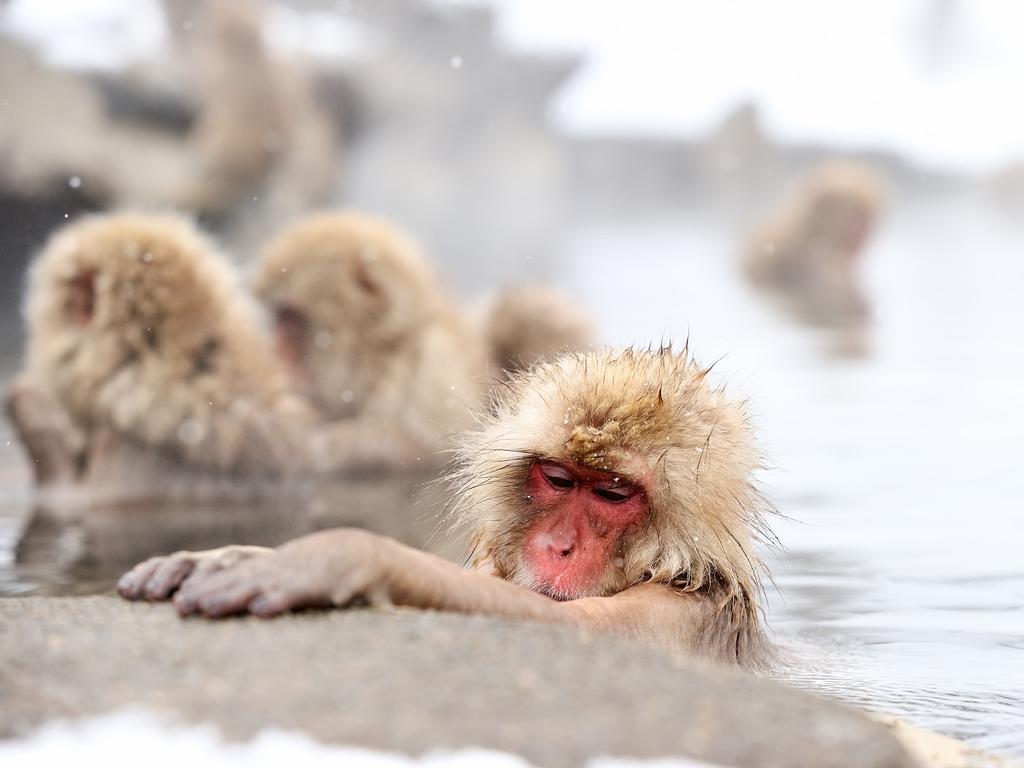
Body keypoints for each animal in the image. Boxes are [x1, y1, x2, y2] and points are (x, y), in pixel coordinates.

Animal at [117, 348, 774, 667]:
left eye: (612, 492)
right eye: (560, 479)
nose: (559, 545)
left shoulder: (675, 610)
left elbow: (567, 626)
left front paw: (340, 556)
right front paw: (224, 554)